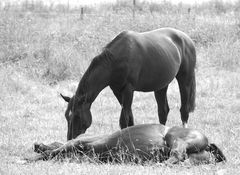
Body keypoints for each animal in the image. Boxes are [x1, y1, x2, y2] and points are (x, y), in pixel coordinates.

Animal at [61, 27, 196, 140]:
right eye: (67, 116)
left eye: (77, 116)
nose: (70, 138)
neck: (115, 60)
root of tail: (187, 39)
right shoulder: (117, 91)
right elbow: (130, 118)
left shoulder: (128, 90)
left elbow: (124, 119)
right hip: (161, 86)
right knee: (163, 111)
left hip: (185, 80)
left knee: (184, 111)